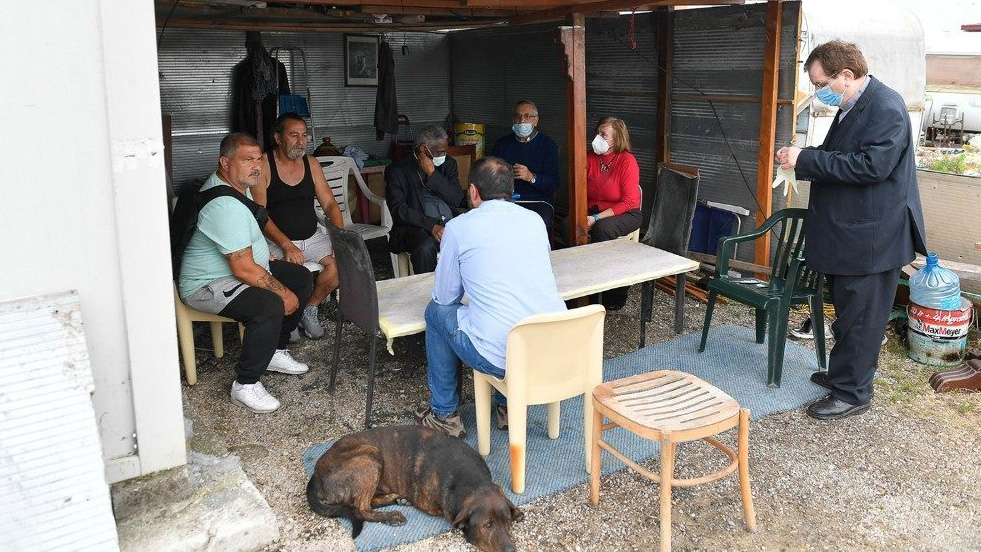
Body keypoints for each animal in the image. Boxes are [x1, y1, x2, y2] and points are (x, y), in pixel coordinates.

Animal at [306, 425, 522, 552]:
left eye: (507, 521)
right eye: (487, 525)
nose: (511, 550)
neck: (470, 481)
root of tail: (315, 475)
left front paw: (517, 511)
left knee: (368, 502)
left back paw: (396, 498)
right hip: (369, 456)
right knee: (361, 508)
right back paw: (392, 515)